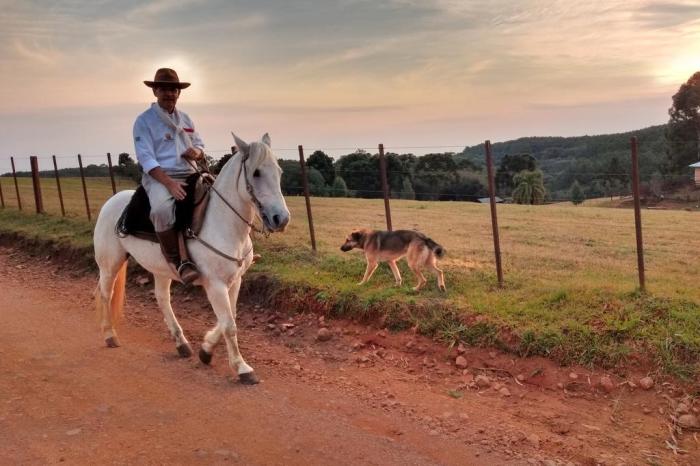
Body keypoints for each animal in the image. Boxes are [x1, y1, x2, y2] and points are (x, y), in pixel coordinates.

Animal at [93, 133, 290, 384]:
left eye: (279, 171)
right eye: (256, 173)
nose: (280, 218)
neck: (222, 222)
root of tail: (112, 202)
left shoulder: (235, 281)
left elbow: (229, 318)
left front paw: (206, 350)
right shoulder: (215, 285)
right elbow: (229, 325)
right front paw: (242, 368)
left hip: (161, 269)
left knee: (162, 299)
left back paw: (181, 344)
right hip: (110, 264)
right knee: (106, 294)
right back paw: (110, 335)